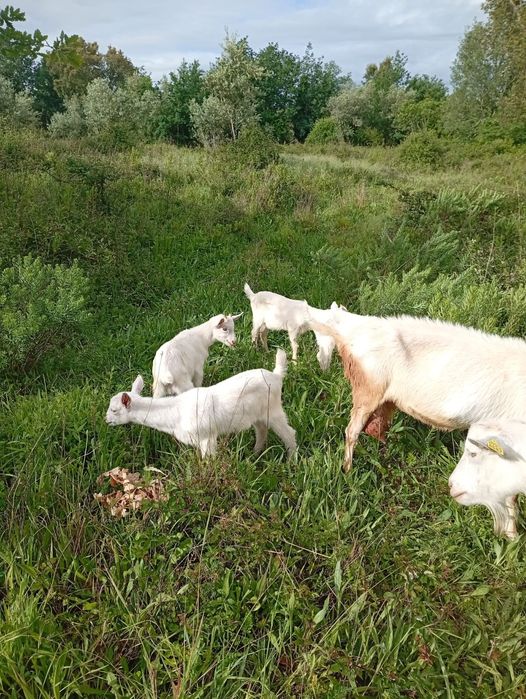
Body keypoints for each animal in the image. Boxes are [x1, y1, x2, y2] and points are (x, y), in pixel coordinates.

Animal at [106, 350, 297, 459]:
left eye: (114, 410)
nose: (106, 420)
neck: (175, 413)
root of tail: (276, 376)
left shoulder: (206, 437)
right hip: (257, 414)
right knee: (261, 430)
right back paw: (255, 453)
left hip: (274, 410)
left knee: (289, 433)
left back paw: (291, 461)